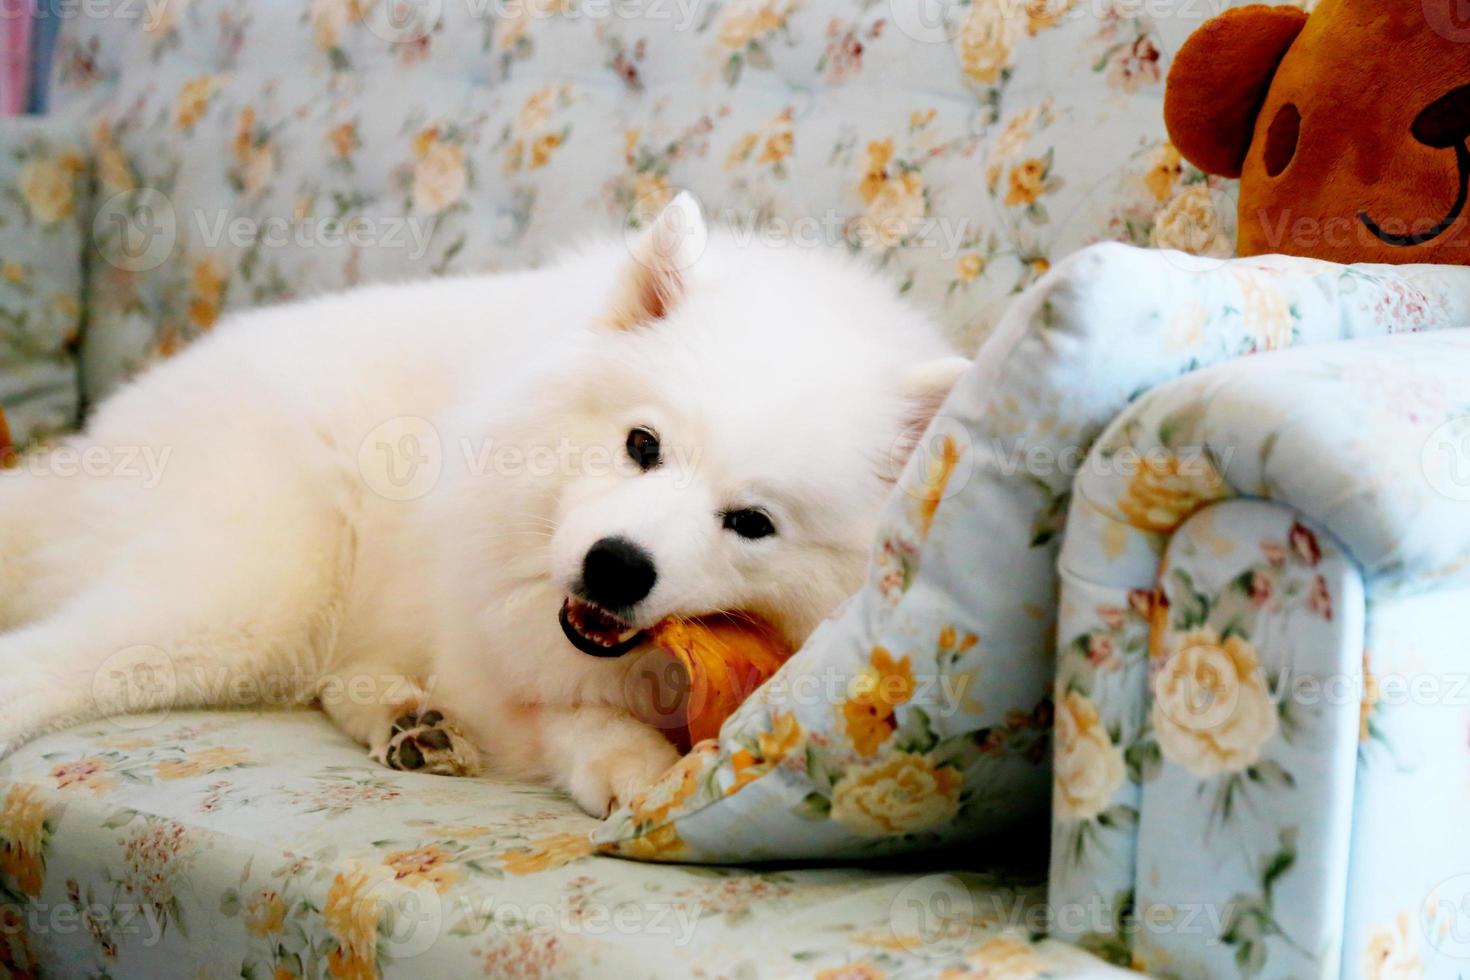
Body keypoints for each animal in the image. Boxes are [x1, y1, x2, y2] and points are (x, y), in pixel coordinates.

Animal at [0, 195, 970, 816]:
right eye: (642, 444)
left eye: (752, 523)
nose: (614, 567)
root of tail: (93, 444)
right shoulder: (486, 643)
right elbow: (563, 714)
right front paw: (632, 765)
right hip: (246, 595)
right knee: (49, 658)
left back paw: (408, 721)